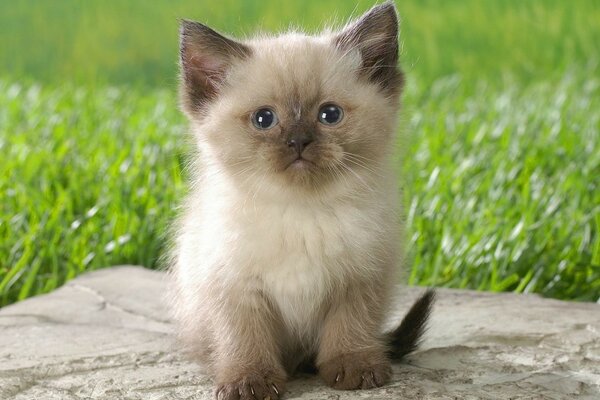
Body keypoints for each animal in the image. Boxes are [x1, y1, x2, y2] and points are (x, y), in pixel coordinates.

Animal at [166, 1, 434, 398]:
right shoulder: (236, 287)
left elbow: (349, 326)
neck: (301, 210)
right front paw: (249, 380)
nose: (299, 141)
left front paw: (353, 368)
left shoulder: (360, 278)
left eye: (330, 114)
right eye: (264, 119)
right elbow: (245, 338)